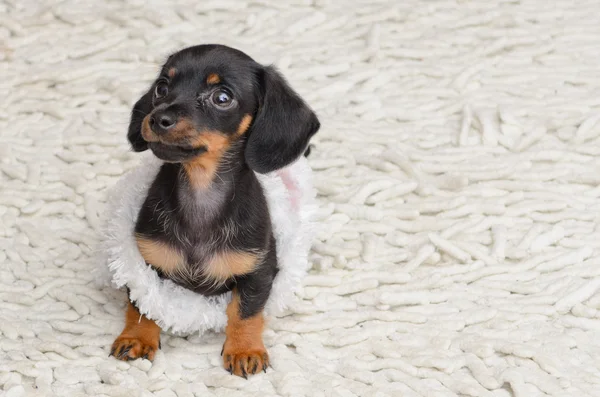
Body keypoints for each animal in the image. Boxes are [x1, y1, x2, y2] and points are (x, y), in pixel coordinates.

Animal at [109, 44, 322, 376]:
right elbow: (143, 305)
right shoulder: (142, 265)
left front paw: (245, 350)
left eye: (222, 97)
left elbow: (245, 311)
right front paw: (138, 337)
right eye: (162, 88)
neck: (200, 192)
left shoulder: (259, 271)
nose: (157, 118)